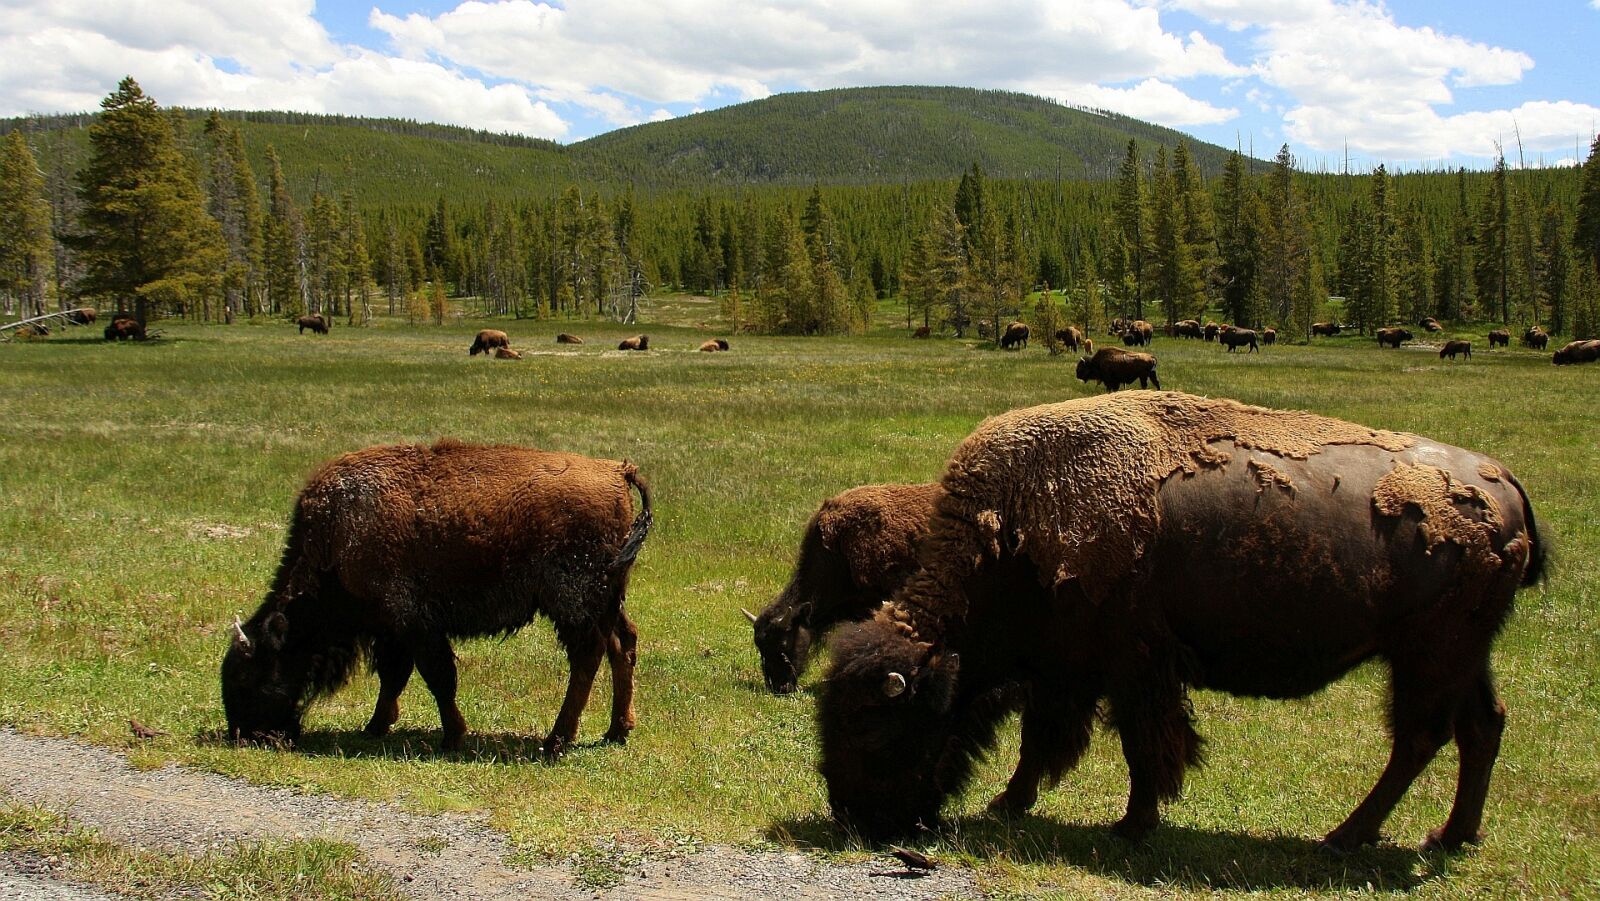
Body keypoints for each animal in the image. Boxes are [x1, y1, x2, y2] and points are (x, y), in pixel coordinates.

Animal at [222, 440, 652, 756]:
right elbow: (396, 677)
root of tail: (617, 471)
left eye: (247, 675)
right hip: (606, 600)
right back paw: (616, 730)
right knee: (622, 643)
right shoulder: (394, 630)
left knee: (587, 659)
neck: (336, 540)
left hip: (574, 604)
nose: (243, 734)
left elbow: (435, 677)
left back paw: (556, 741)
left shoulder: (413, 625)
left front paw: (452, 737)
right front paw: (376, 725)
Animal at [817, 391, 1543, 850]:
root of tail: (1506, 482)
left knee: (1419, 738)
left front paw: (1131, 824)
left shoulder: (1132, 667)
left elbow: (1141, 745)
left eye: (872, 725)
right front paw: (1010, 802)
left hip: (1428, 655)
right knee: (1481, 727)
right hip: (1464, 655)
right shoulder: (1067, 672)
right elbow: (1043, 742)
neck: (1013, 533)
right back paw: (1449, 836)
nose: (851, 816)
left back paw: (1345, 837)